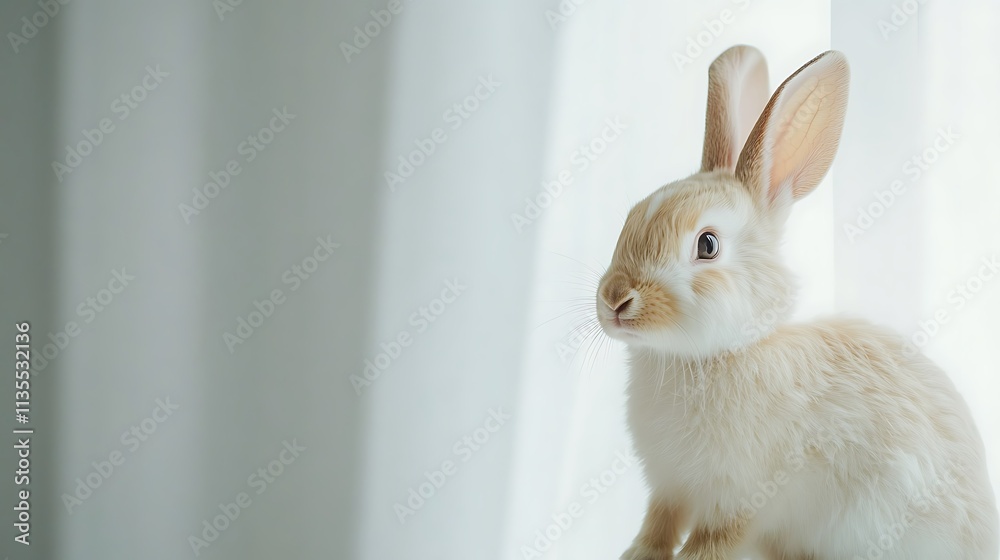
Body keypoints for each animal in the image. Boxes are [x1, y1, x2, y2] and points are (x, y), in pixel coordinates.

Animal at [596, 45, 999, 560]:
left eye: (707, 245)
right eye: (628, 219)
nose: (614, 300)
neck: (713, 355)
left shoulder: (737, 501)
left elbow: (709, 544)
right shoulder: (669, 489)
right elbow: (657, 528)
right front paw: (636, 555)